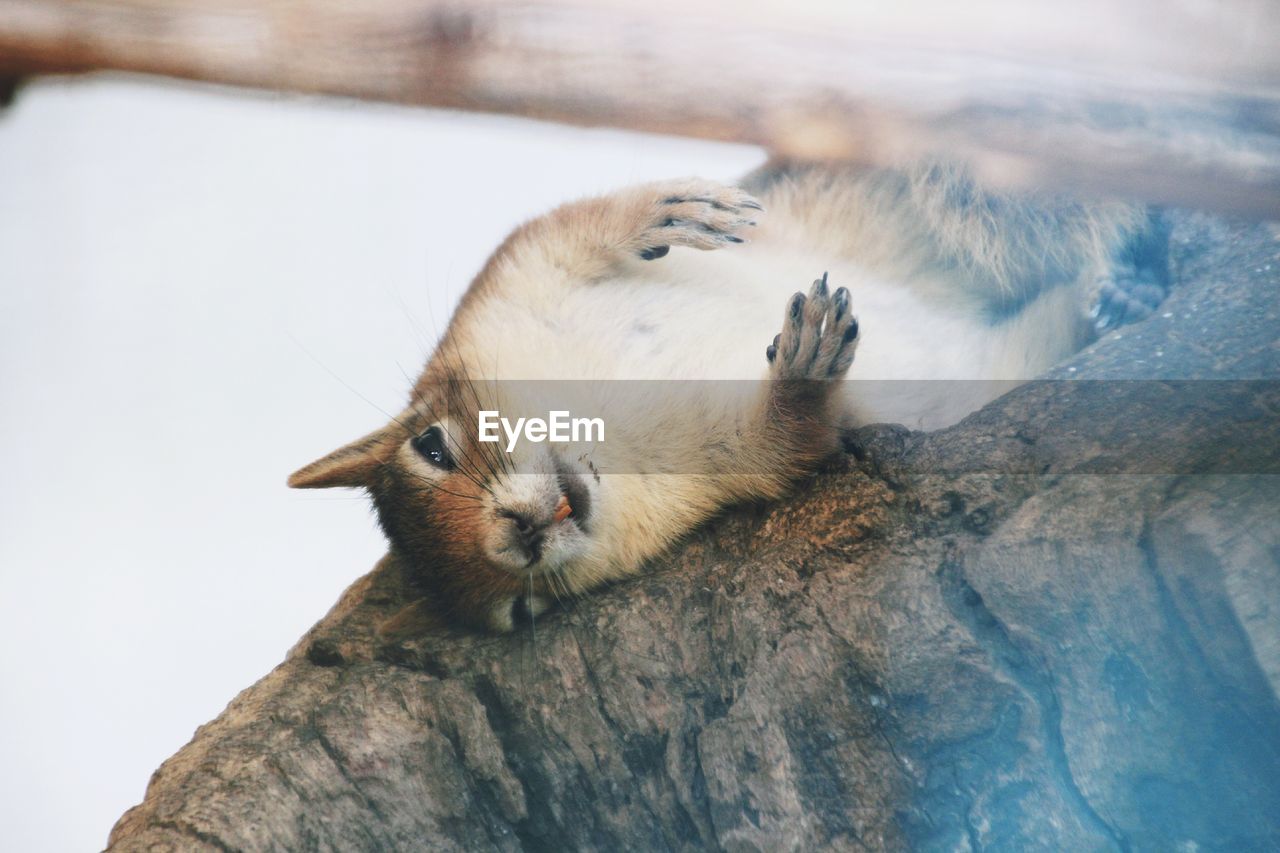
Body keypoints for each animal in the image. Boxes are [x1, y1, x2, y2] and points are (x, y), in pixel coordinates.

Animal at [288, 161, 1172, 630]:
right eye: (519, 612)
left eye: (432, 445)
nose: (521, 536)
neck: (612, 426)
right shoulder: (731, 464)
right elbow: (792, 438)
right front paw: (804, 372)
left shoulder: (519, 272)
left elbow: (577, 224)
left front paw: (666, 210)